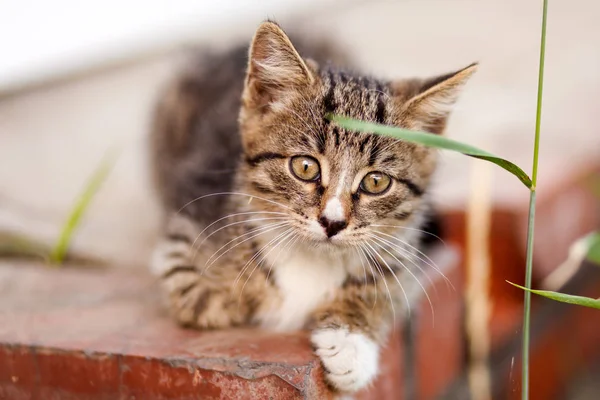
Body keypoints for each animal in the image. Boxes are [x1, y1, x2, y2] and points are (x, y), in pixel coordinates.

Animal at [149, 21, 474, 394]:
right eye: (305, 167)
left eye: (376, 182)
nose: (332, 222)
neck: (311, 258)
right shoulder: (189, 220)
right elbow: (193, 292)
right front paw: (229, 301)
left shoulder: (403, 247)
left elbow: (388, 286)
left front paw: (350, 343)